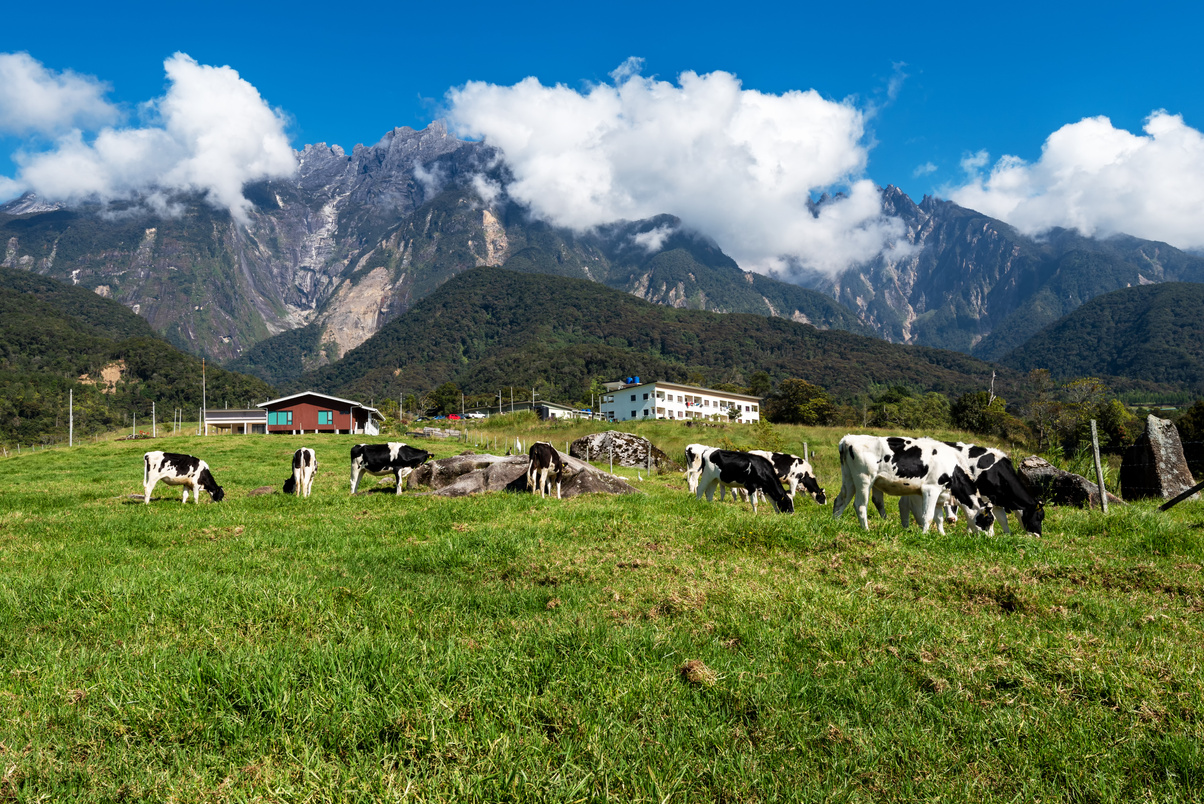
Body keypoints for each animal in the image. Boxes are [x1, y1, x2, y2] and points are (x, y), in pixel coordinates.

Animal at [833, 433, 992, 534]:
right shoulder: (930, 489)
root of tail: (849, 438)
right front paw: (924, 535)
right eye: (989, 520)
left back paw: (835, 523)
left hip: (849, 478)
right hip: (864, 479)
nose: (990, 539)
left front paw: (942, 535)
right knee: (860, 505)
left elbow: (939, 518)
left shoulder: (940, 496)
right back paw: (866, 530)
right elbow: (928, 515)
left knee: (840, 500)